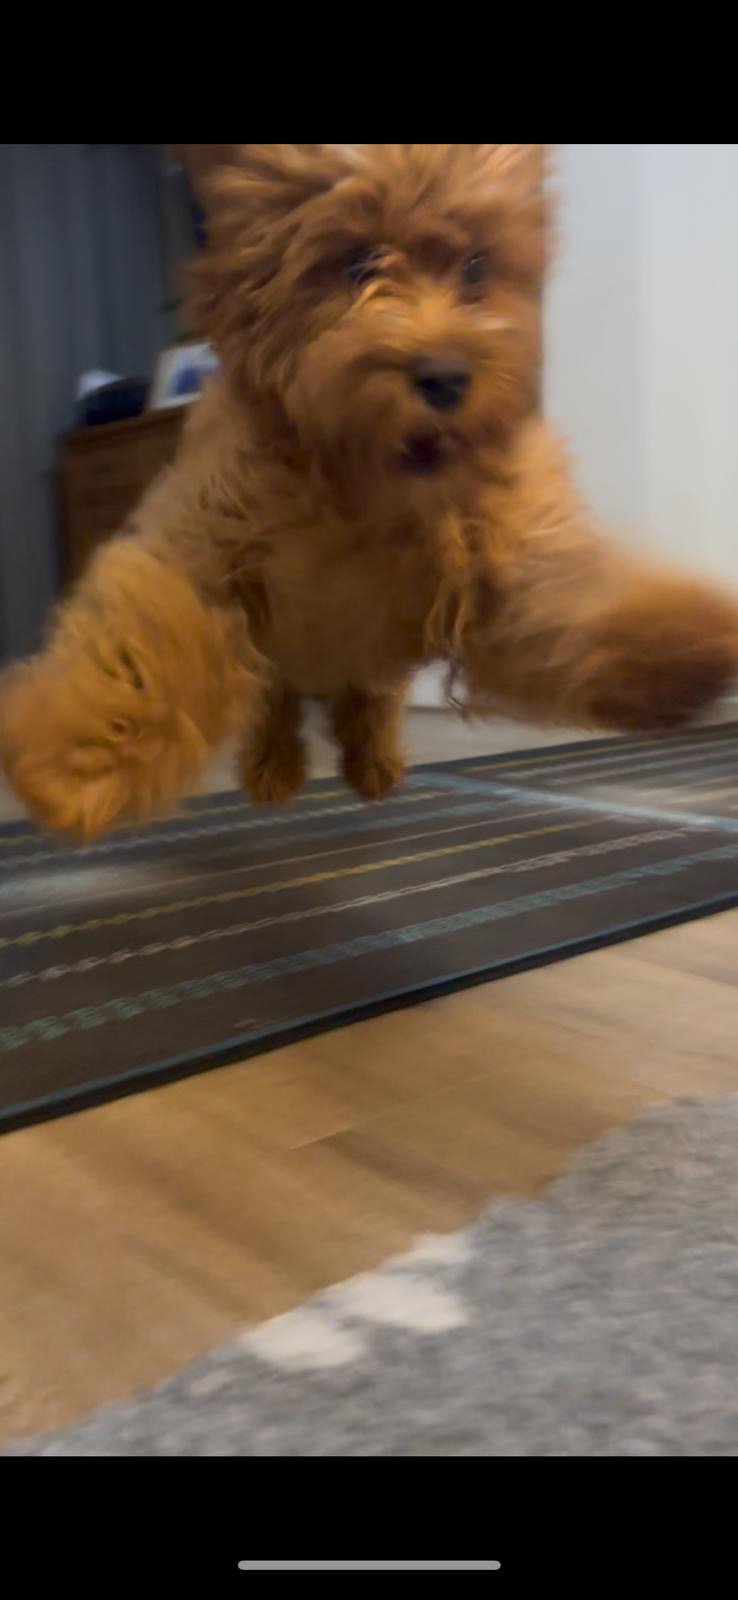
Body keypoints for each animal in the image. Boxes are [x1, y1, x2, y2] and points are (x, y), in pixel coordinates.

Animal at [2, 142, 738, 838]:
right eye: (356, 264)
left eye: (476, 267)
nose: (445, 376)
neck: (365, 485)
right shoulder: (201, 549)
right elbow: (142, 654)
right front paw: (72, 764)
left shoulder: (506, 568)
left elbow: (572, 604)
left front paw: (687, 641)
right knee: (271, 700)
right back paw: (274, 769)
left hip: (371, 660)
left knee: (369, 698)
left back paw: (374, 763)